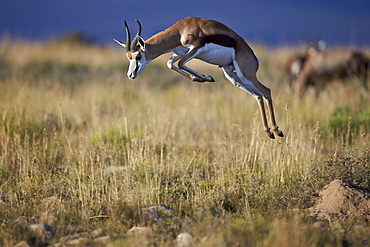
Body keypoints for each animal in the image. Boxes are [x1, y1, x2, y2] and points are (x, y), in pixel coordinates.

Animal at [114, 17, 284, 139]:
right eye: (128, 57)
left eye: (138, 56)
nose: (130, 75)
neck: (181, 31)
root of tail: (254, 58)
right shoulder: (180, 52)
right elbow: (170, 64)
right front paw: (205, 77)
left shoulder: (196, 48)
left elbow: (180, 64)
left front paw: (206, 77)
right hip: (233, 77)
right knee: (258, 96)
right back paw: (269, 132)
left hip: (245, 74)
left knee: (266, 91)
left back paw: (277, 131)